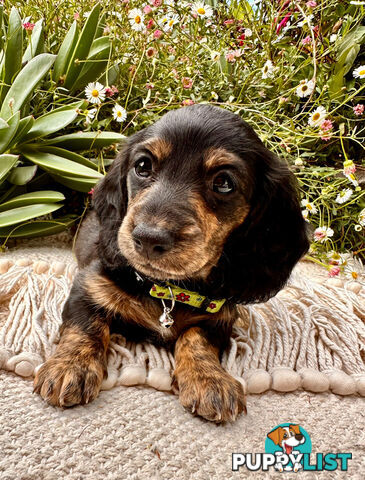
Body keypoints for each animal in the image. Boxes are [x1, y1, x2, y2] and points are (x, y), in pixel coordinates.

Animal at [33, 104, 308, 420]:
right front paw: (69, 367)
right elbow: (85, 325)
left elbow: (197, 338)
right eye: (143, 166)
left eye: (224, 183)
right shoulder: (88, 286)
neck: (167, 290)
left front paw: (209, 380)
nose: (148, 238)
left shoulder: (220, 317)